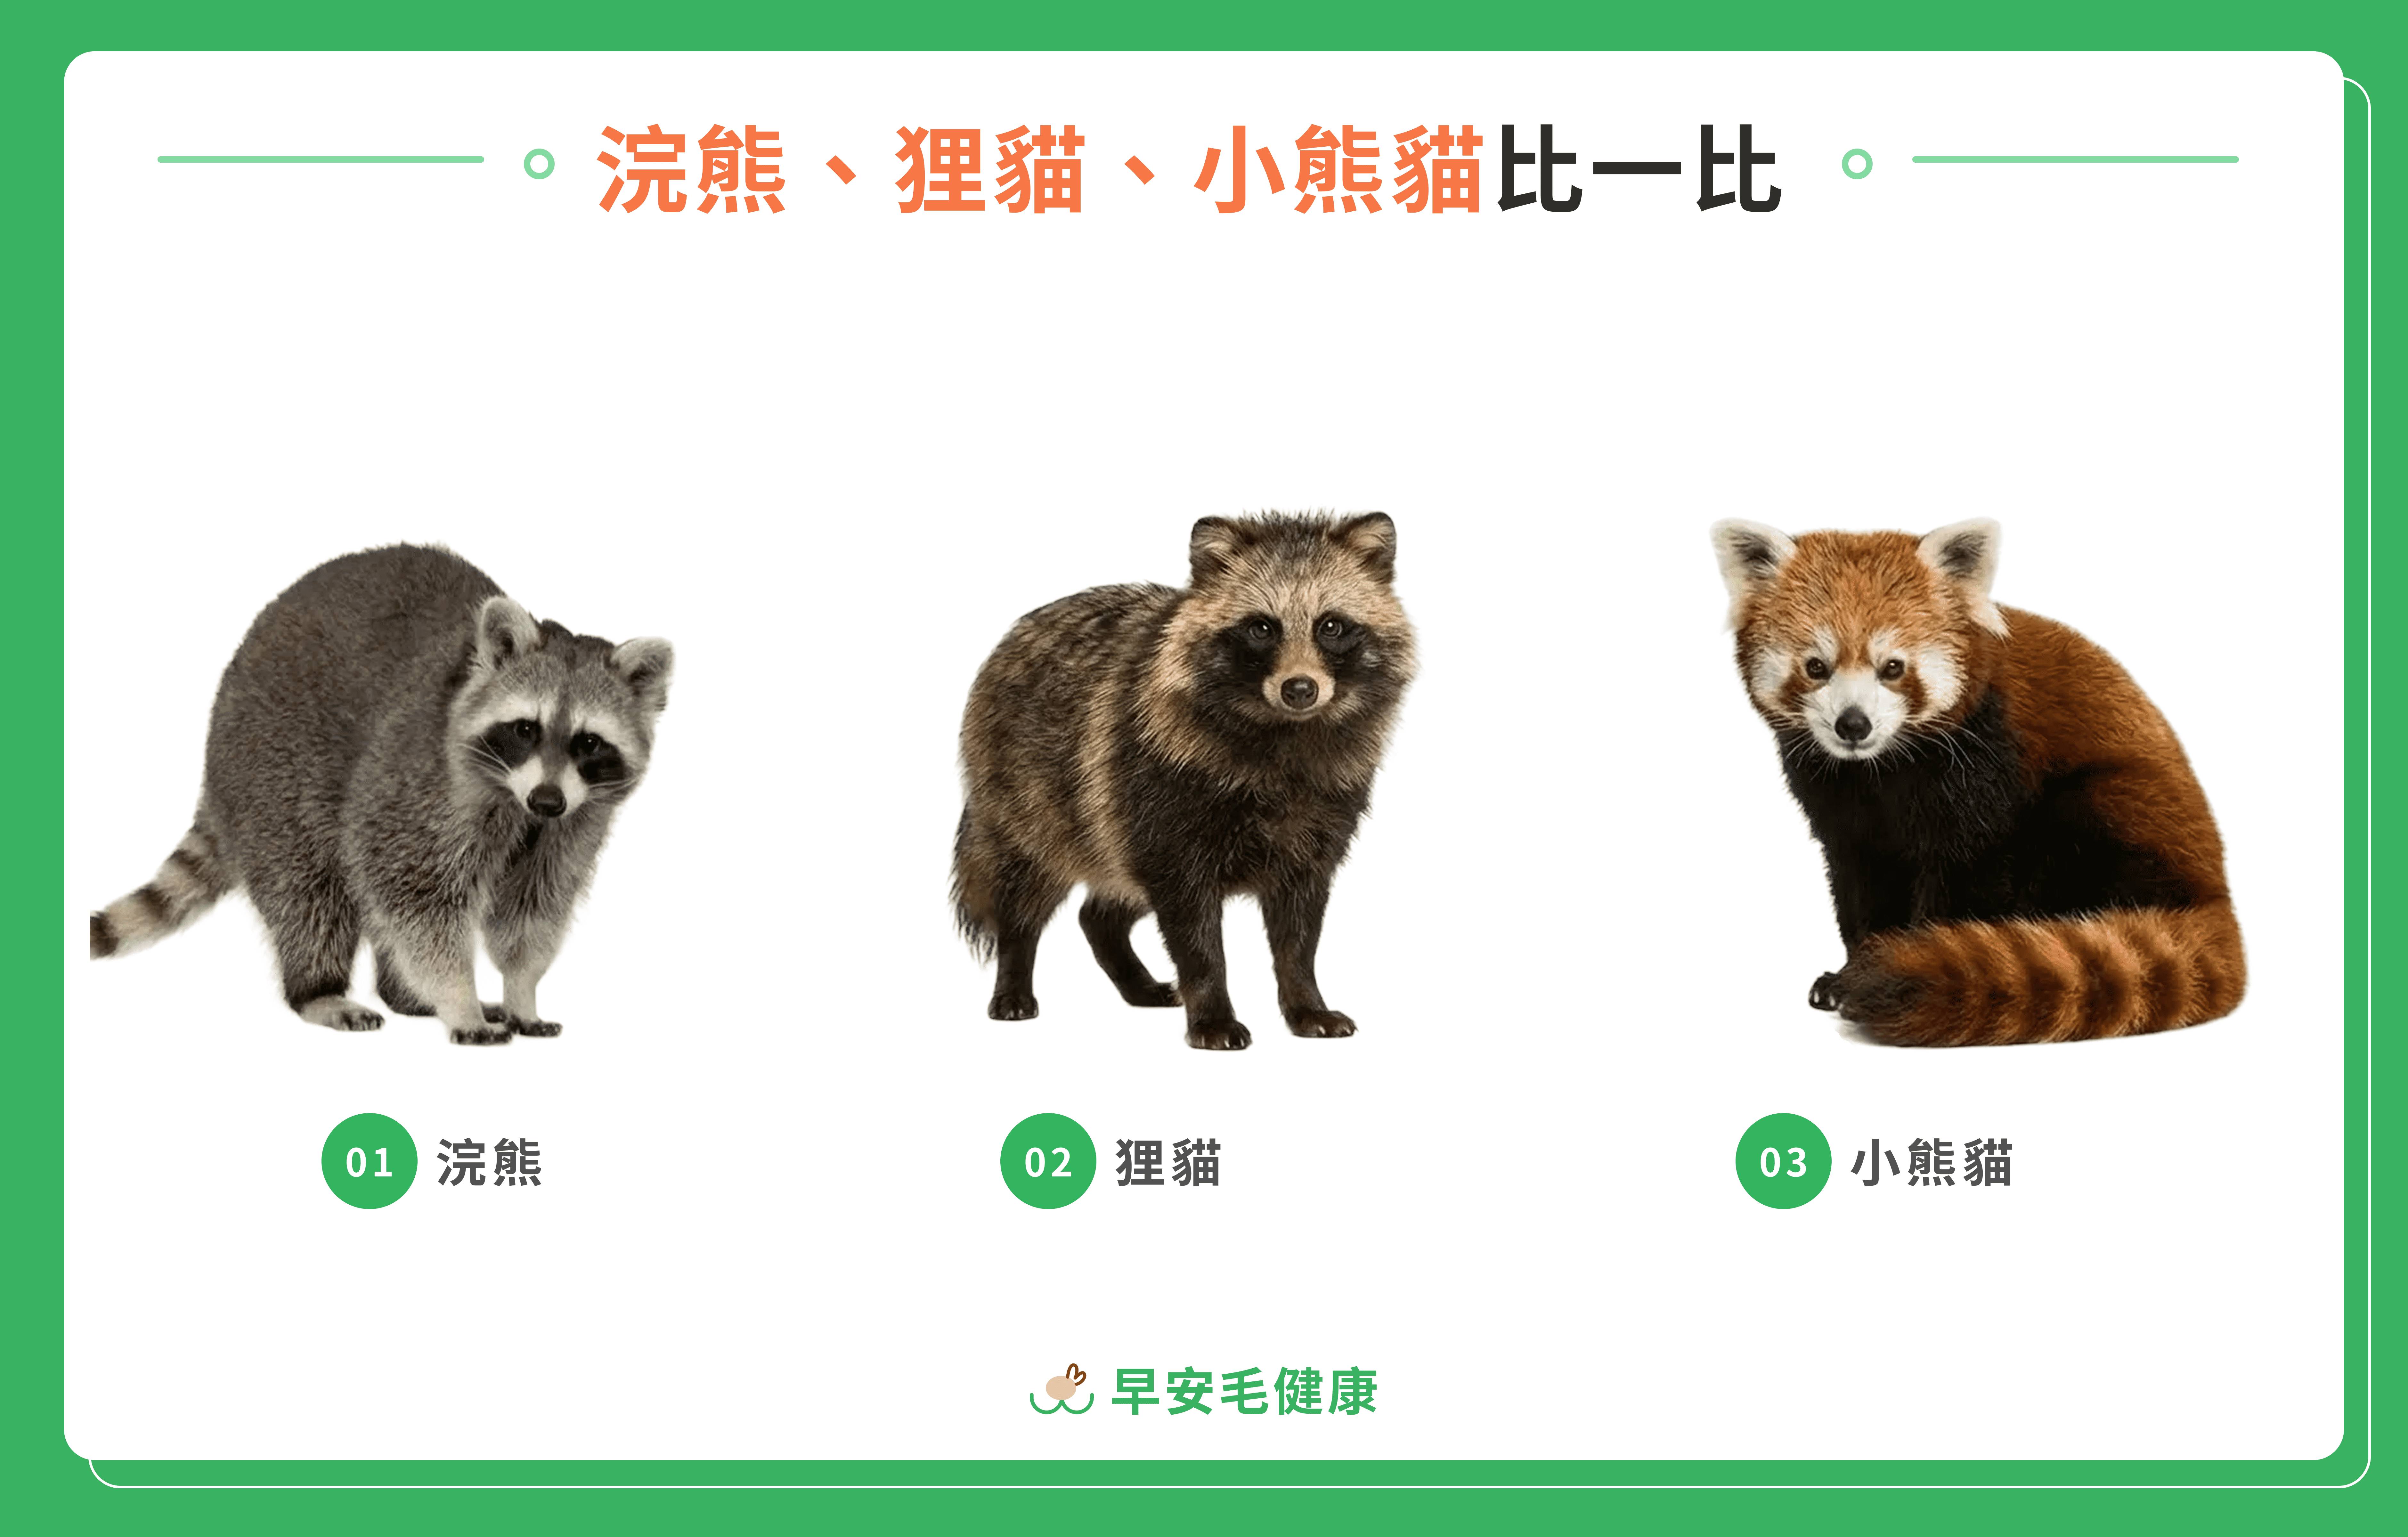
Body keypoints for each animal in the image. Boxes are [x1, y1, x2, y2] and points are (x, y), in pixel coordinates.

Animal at [88, 544, 673, 1046]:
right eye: (526, 729)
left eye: (589, 742)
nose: (547, 802)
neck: (515, 796)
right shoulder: (420, 782)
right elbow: (416, 892)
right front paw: (458, 998)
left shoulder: (577, 820)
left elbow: (533, 906)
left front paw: (522, 991)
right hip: (268, 767)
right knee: (309, 890)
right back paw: (319, 990)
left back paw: (404, 993)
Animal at [953, 512, 1416, 1050]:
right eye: (1262, 628)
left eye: (1332, 626)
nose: (1300, 689)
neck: (1283, 733)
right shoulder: (1165, 791)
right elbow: (1195, 934)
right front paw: (1212, 1012)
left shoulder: (1318, 821)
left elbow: (1299, 933)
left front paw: (1306, 1003)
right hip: (1036, 797)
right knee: (1024, 887)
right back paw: (1014, 975)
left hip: (1113, 828)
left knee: (1103, 909)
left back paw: (1129, 972)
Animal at [1711, 517, 2245, 1046]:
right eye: (1816, 667)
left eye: (1893, 668)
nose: (1853, 725)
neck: (1882, 771)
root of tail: (2218, 890)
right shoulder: (1839, 806)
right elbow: (1861, 881)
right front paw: (1845, 973)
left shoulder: (1985, 766)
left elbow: (1967, 873)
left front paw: (1920, 952)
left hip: (2116, 812)